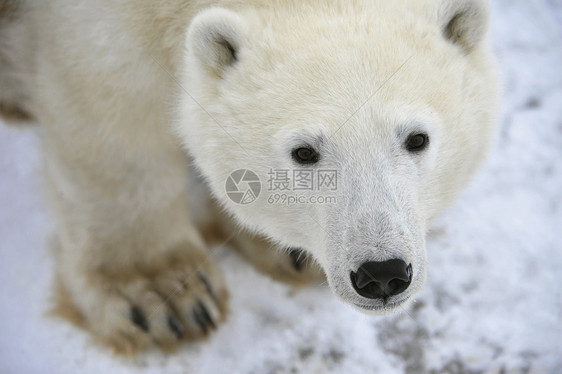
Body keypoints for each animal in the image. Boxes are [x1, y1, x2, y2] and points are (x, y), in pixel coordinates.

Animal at [2, 0, 496, 354]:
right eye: (304, 152)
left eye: (417, 138)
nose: (383, 274)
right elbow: (113, 123)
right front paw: (163, 297)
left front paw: (284, 252)